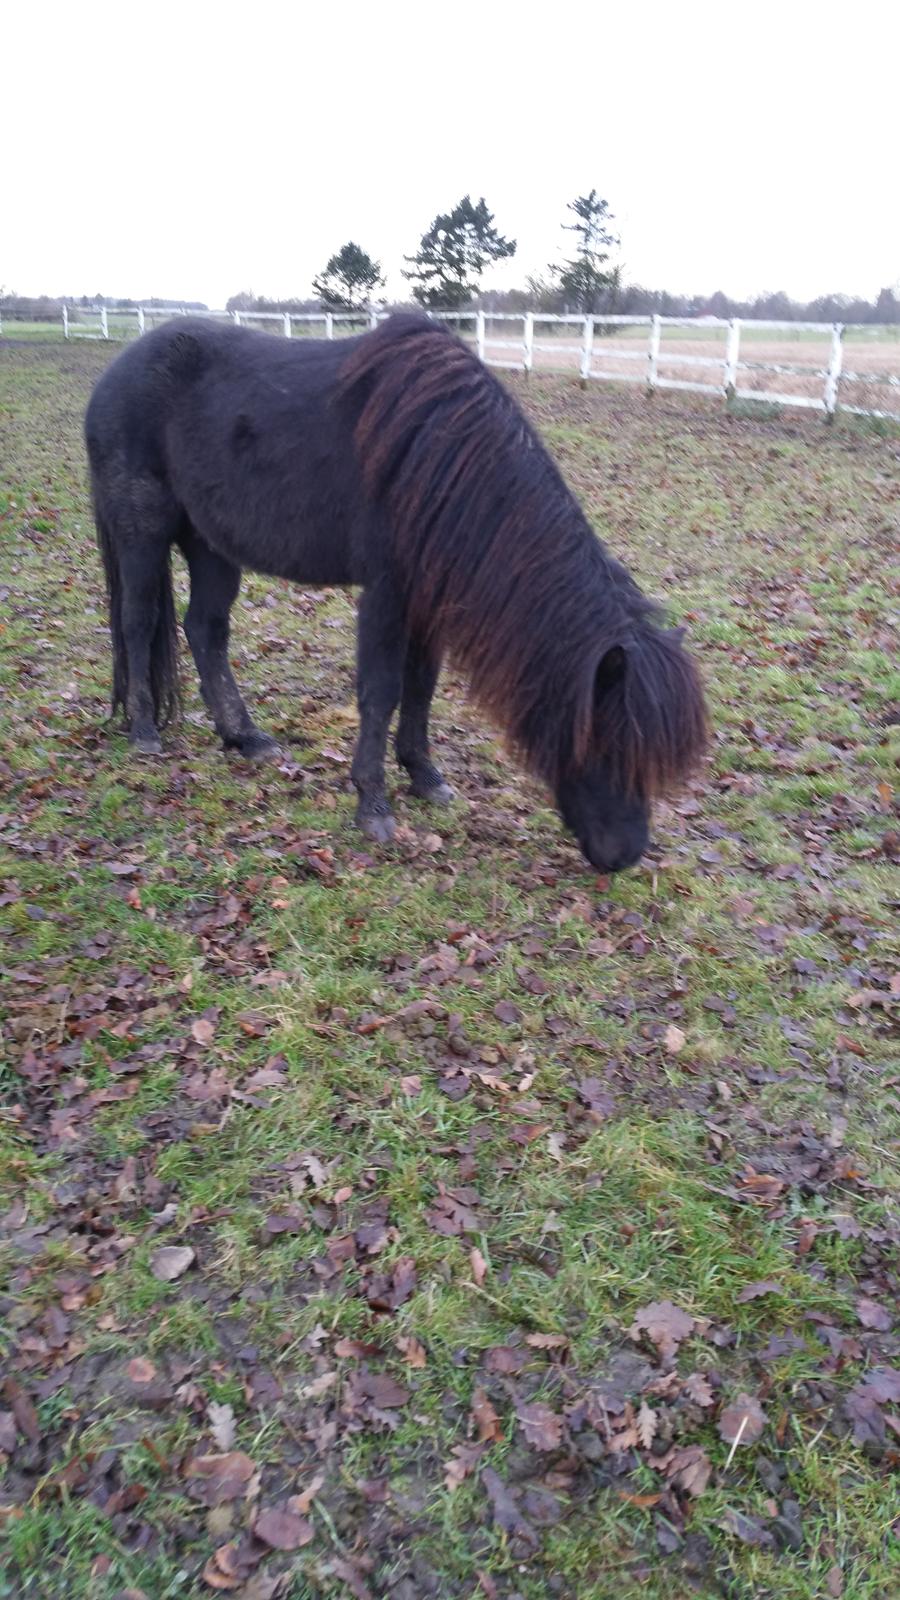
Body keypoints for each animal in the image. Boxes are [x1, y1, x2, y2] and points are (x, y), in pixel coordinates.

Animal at [84, 308, 704, 864]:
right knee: (138, 623)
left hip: (212, 546)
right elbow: (381, 692)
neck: (437, 457)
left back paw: (244, 737)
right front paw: (374, 805)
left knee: (205, 630)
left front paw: (424, 775)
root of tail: (114, 373)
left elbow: (421, 688)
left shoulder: (426, 603)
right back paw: (145, 730)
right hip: (143, 534)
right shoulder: (386, 594)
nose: (625, 856)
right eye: (608, 743)